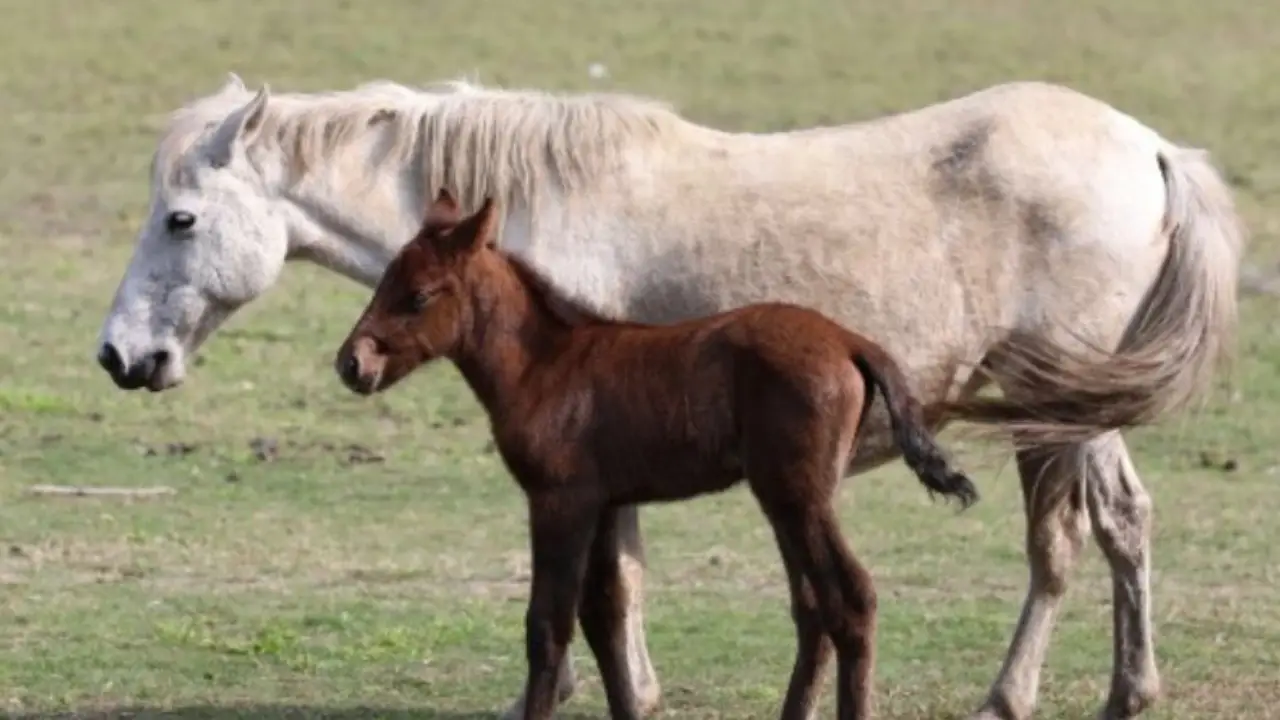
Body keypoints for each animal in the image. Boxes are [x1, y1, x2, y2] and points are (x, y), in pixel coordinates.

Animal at [334, 188, 982, 720]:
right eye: (384, 280)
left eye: (418, 295)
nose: (351, 363)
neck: (545, 362)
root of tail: (849, 339)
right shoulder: (602, 503)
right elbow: (603, 614)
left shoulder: (558, 501)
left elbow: (549, 623)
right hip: (791, 499)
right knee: (813, 607)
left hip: (798, 497)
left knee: (850, 599)